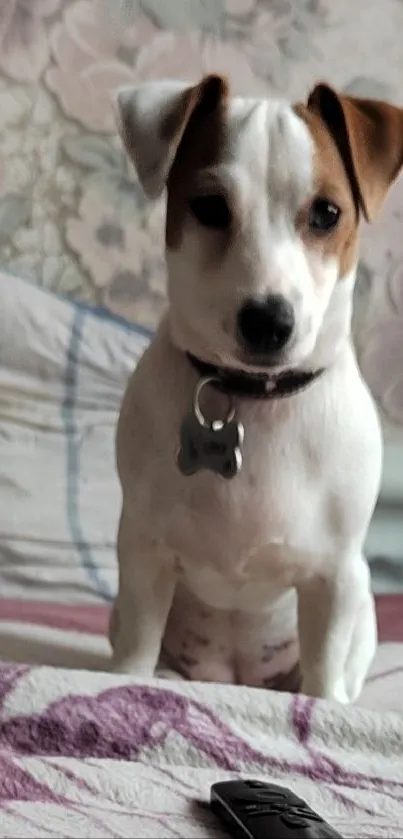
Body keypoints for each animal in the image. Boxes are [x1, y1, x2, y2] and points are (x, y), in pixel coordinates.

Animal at [109, 75, 403, 704]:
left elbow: (324, 667)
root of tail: (236, 676)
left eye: (327, 213)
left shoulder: (336, 576)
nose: (268, 321)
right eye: (209, 206)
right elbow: (138, 645)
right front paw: (127, 682)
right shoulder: (143, 552)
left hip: (364, 607)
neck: (251, 397)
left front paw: (324, 707)